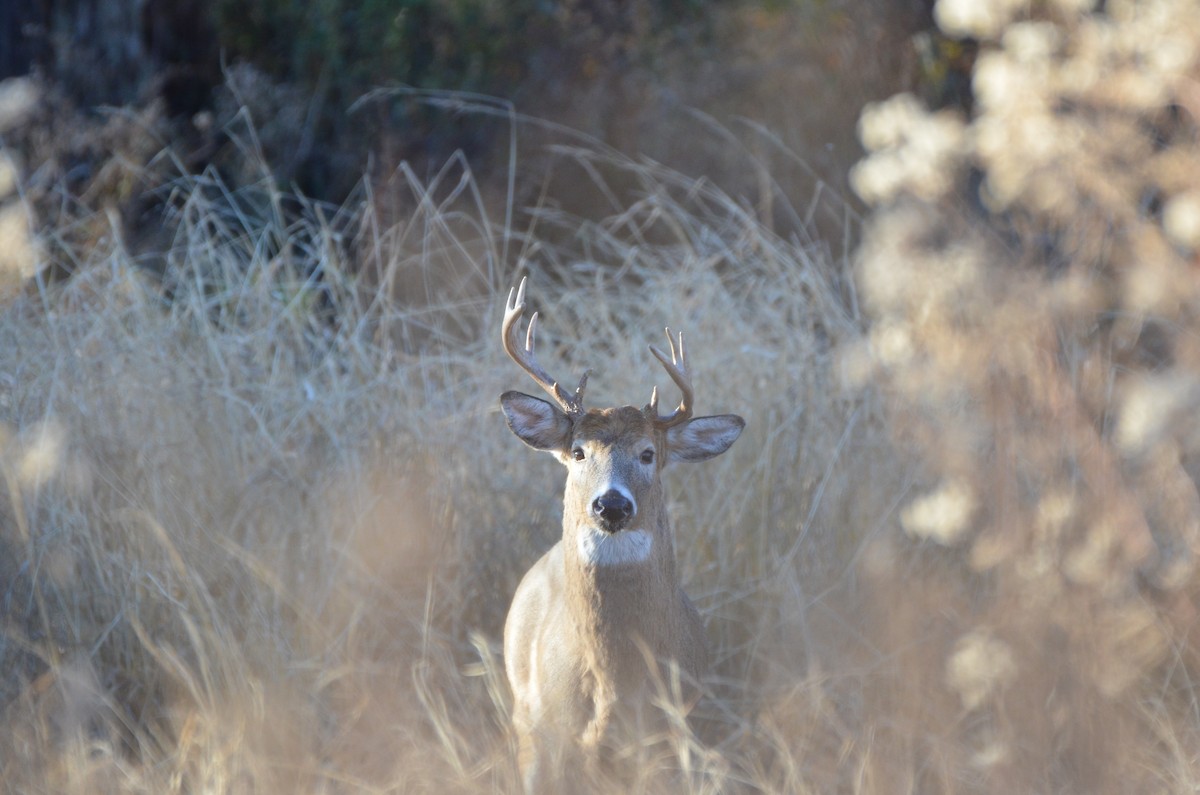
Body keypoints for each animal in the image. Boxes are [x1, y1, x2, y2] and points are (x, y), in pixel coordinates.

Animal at [498, 278, 745, 792]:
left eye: (648, 453)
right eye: (577, 451)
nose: (611, 504)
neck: (618, 684)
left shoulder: (675, 732)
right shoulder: (558, 734)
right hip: (525, 714)